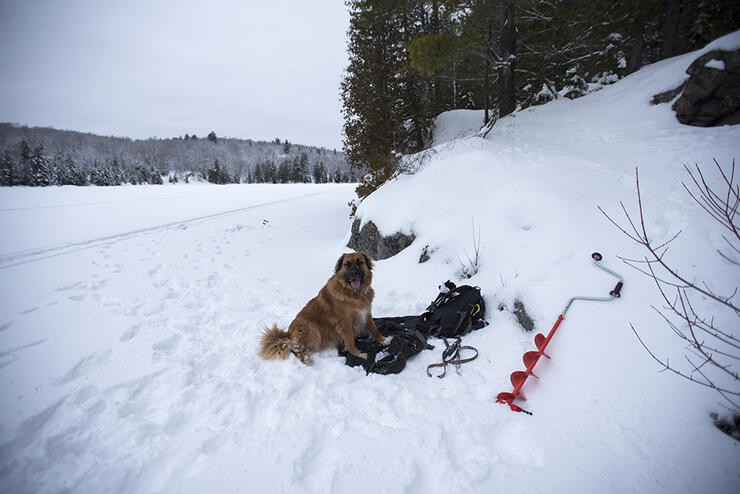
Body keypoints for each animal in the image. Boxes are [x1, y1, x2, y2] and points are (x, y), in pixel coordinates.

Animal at [258, 253, 390, 364]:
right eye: (347, 264)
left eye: (360, 262)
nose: (353, 273)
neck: (353, 293)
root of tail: (288, 334)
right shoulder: (345, 323)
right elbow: (350, 341)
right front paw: (358, 354)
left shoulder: (366, 313)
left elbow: (374, 329)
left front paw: (384, 340)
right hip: (311, 328)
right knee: (296, 350)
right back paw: (306, 359)